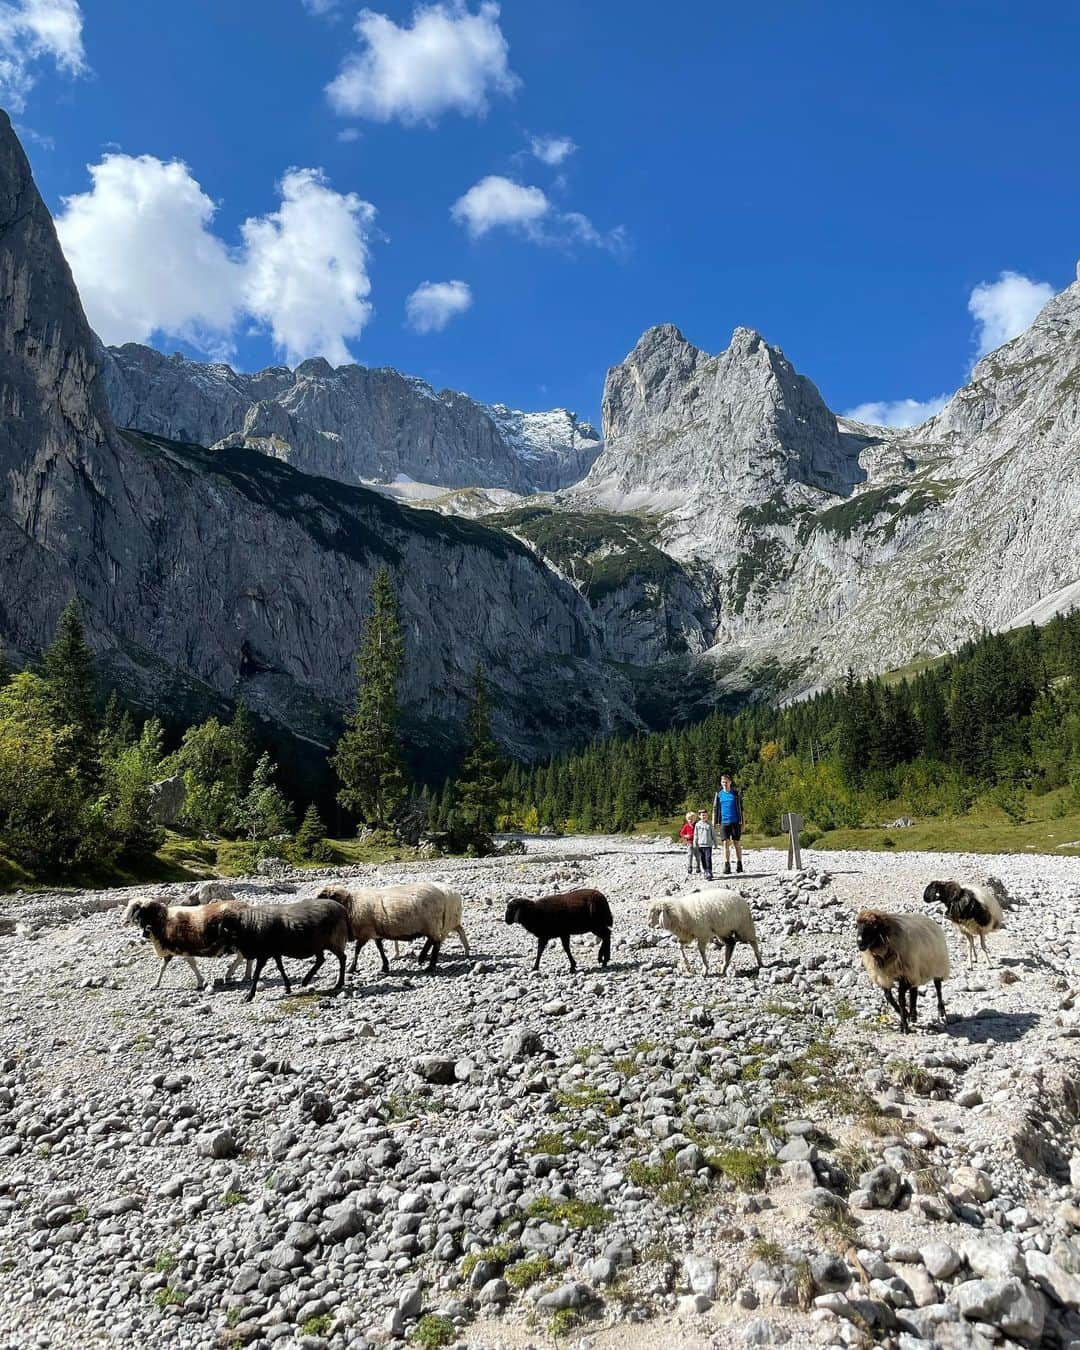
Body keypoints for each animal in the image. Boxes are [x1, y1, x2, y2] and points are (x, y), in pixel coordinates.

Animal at [203, 896, 351, 1004]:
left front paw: (249, 996)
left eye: (221, 932)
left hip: (333, 941)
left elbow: (256, 975)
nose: (212, 950)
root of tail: (342, 909)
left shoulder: (263, 955)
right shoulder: (275, 953)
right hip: (318, 945)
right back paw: (306, 980)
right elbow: (280, 968)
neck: (248, 927)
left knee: (342, 958)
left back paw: (338, 984)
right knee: (321, 960)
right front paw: (287, 988)